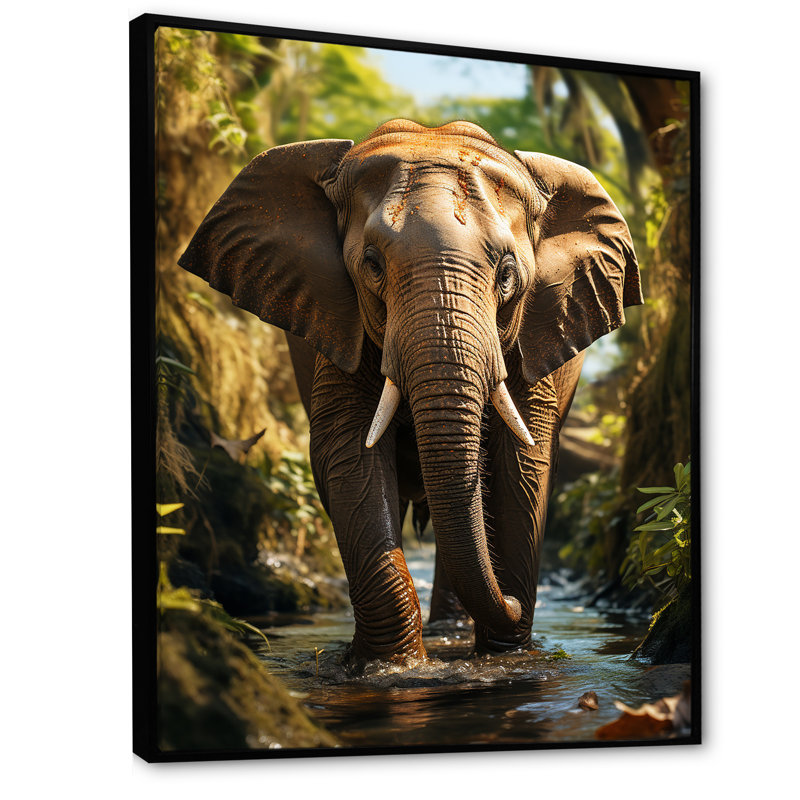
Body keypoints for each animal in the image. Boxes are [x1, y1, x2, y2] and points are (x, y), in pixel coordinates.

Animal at [179, 119, 642, 664]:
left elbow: (521, 467)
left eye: (508, 275)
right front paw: (389, 667)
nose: (510, 599)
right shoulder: (341, 325)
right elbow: (349, 453)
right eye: (373, 265)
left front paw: (506, 655)